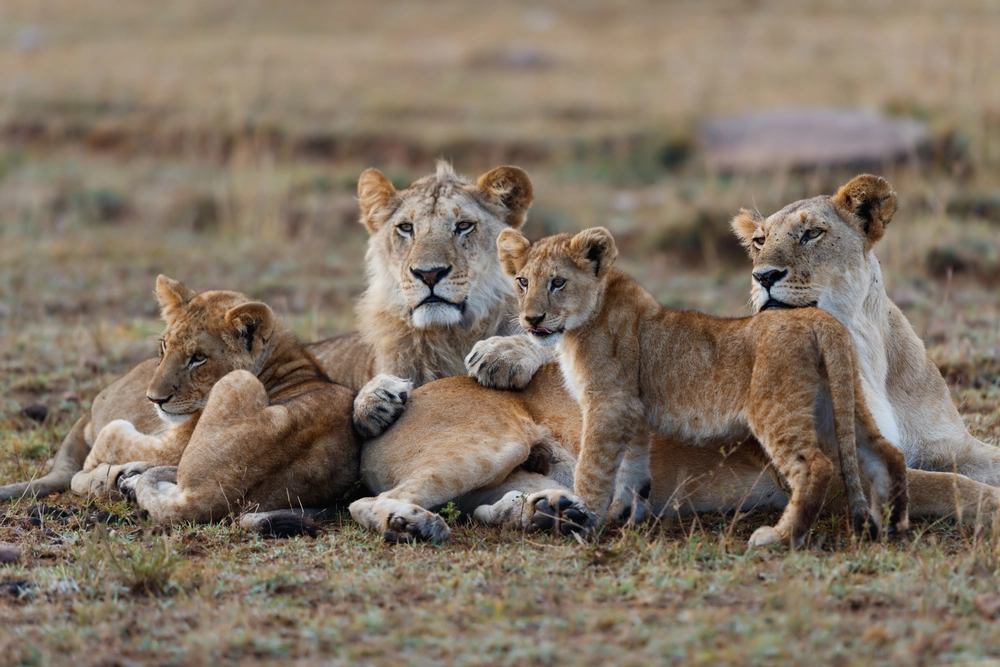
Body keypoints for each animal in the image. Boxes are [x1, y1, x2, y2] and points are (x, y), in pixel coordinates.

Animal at [65, 275, 362, 532]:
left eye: (198, 357)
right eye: (164, 346)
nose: (154, 399)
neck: (283, 362)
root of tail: (209, 496)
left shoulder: (174, 447)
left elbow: (112, 437)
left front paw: (96, 462)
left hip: (238, 381)